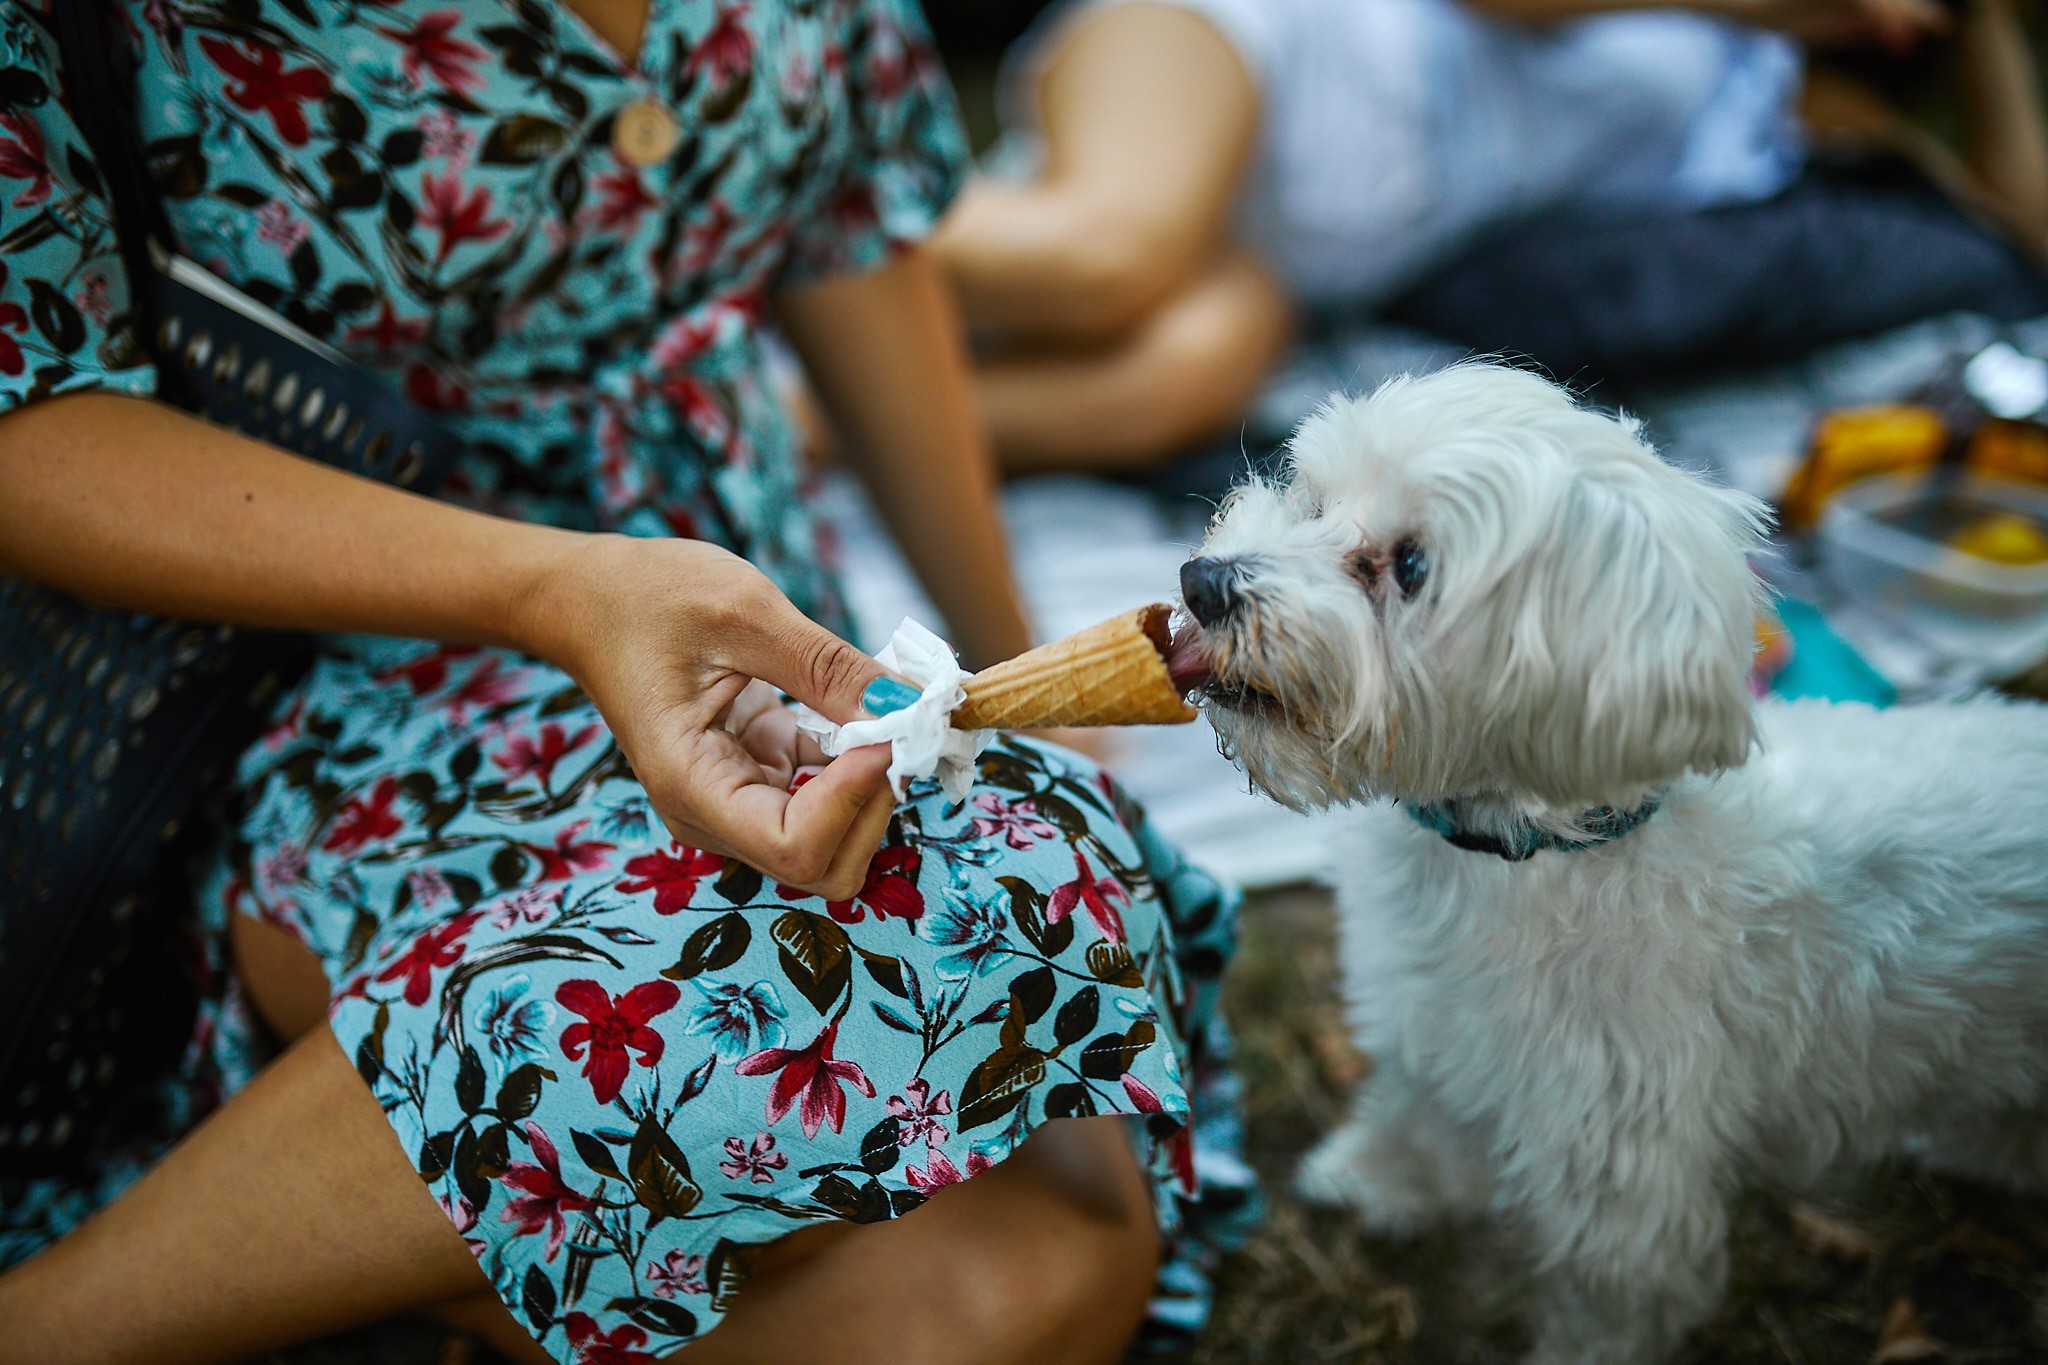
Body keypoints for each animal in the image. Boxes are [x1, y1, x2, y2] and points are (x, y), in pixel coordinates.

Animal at [1171, 366, 2048, 1365]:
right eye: (1314, 498)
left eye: (1413, 567)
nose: (1203, 582)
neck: (1525, 852)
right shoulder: (1432, 1024)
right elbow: (1418, 1112)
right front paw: (1372, 1179)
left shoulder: (1625, 1180)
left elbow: (1610, 1305)